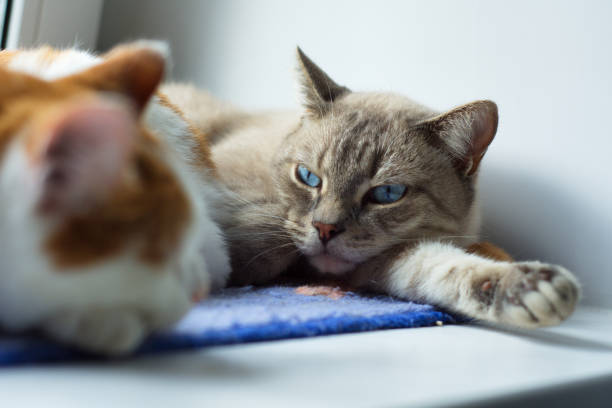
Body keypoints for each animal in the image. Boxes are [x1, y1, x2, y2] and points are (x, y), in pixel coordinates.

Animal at [165, 48, 580, 328]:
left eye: (387, 195)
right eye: (309, 177)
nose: (325, 229)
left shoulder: (387, 258)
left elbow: (445, 267)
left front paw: (530, 289)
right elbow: (266, 238)